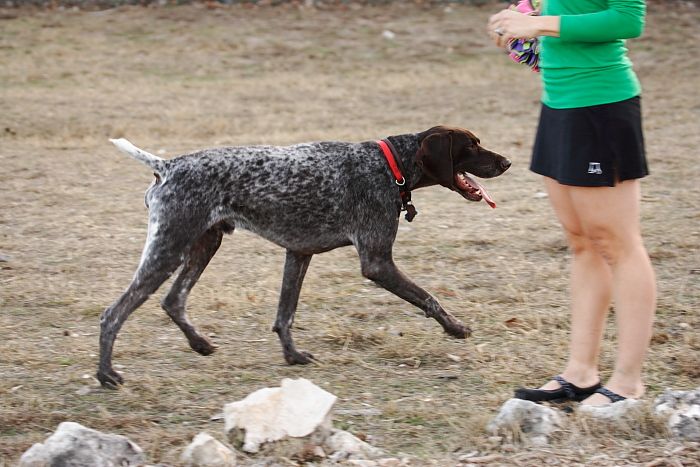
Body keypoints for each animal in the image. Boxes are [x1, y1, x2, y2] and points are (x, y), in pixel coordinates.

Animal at [97, 126, 508, 390]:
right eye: (472, 145)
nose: (506, 162)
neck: (389, 165)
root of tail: (167, 166)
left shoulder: (299, 253)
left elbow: (285, 315)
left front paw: (292, 356)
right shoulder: (377, 263)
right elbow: (429, 298)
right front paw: (455, 327)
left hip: (203, 245)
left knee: (173, 300)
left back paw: (199, 344)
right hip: (168, 249)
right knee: (113, 314)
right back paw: (106, 376)